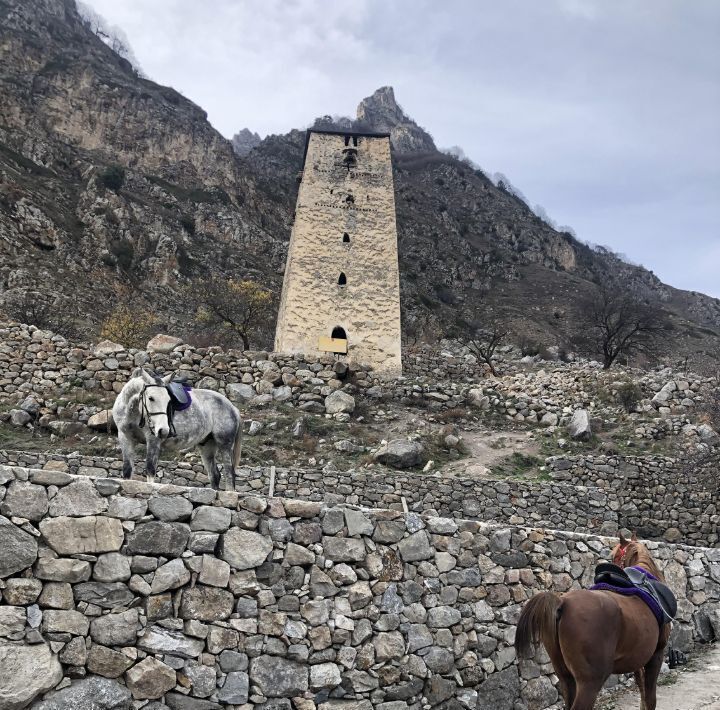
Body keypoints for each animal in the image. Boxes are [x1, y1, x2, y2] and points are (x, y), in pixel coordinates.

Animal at [112, 368, 242, 490]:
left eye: (168, 400)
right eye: (151, 398)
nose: (164, 431)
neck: (133, 411)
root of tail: (233, 407)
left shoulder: (153, 440)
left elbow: (150, 469)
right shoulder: (125, 437)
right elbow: (127, 470)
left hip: (224, 444)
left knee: (229, 474)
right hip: (207, 446)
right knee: (214, 475)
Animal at [516, 536, 672, 708]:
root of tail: (562, 602)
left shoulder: (638, 661)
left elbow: (643, 692)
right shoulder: (656, 655)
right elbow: (650, 698)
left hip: (565, 677)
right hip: (590, 682)